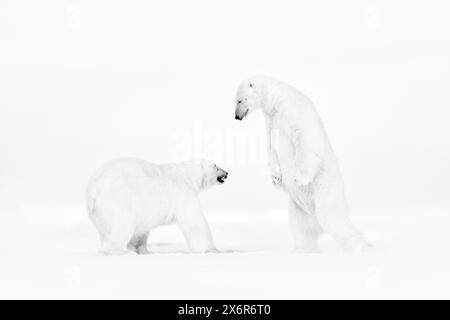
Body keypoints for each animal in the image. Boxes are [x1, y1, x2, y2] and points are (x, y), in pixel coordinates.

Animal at [85, 159, 229, 256]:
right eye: (215, 165)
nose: (227, 173)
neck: (186, 175)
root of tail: (94, 190)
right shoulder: (182, 194)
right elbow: (195, 221)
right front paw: (213, 250)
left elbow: (141, 231)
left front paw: (143, 250)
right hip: (119, 202)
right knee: (121, 227)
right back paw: (123, 251)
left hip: (98, 214)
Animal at [234, 75, 368, 252]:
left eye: (240, 100)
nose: (236, 116)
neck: (276, 101)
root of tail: (316, 221)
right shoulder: (270, 120)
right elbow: (271, 147)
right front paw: (276, 179)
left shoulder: (292, 109)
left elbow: (306, 138)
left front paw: (298, 178)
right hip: (298, 210)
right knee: (302, 232)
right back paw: (306, 251)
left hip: (325, 192)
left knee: (333, 219)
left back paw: (358, 246)